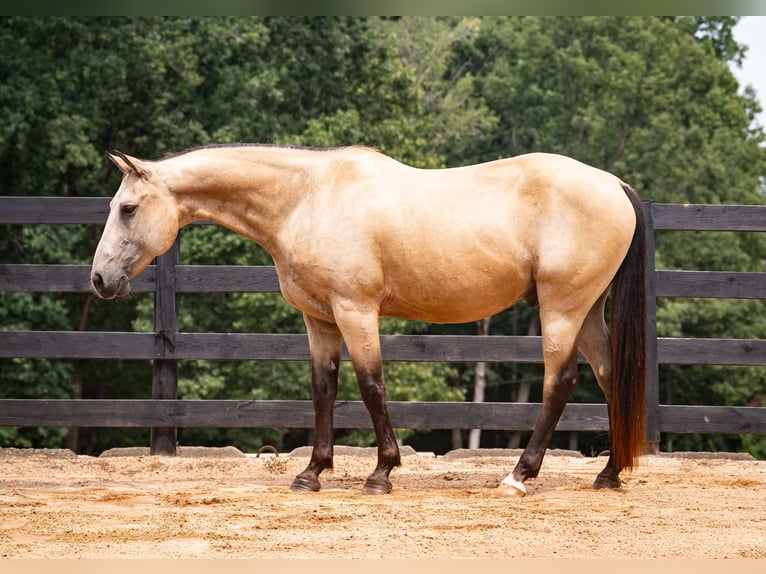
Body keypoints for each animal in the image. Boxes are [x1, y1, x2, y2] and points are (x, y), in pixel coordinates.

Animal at [91, 144, 647, 497]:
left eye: (128, 208)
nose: (98, 279)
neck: (308, 198)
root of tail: (614, 184)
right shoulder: (319, 320)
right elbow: (324, 389)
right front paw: (312, 473)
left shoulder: (355, 310)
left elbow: (371, 384)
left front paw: (381, 473)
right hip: (586, 312)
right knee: (609, 376)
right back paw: (609, 474)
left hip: (562, 309)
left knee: (561, 381)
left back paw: (518, 476)